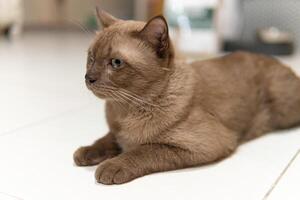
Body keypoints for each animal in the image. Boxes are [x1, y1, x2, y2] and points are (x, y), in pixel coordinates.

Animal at [74, 9, 300, 184]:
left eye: (116, 63)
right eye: (91, 58)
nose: (88, 77)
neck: (125, 109)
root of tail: (273, 58)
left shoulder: (203, 144)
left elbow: (144, 150)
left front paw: (111, 166)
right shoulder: (117, 132)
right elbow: (107, 139)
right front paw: (86, 152)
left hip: (284, 110)